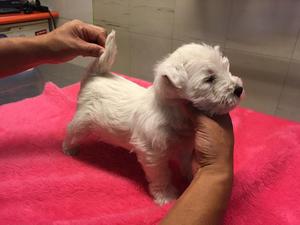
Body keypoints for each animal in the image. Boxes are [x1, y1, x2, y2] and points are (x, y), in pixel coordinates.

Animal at [62, 30, 244, 206]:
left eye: (226, 68)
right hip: (83, 122)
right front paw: (165, 196)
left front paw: (190, 178)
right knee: (71, 131)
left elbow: (186, 163)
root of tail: (95, 75)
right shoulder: (152, 153)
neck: (174, 113)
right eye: (209, 79)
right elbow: (161, 176)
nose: (239, 89)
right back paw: (69, 149)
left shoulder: (185, 147)